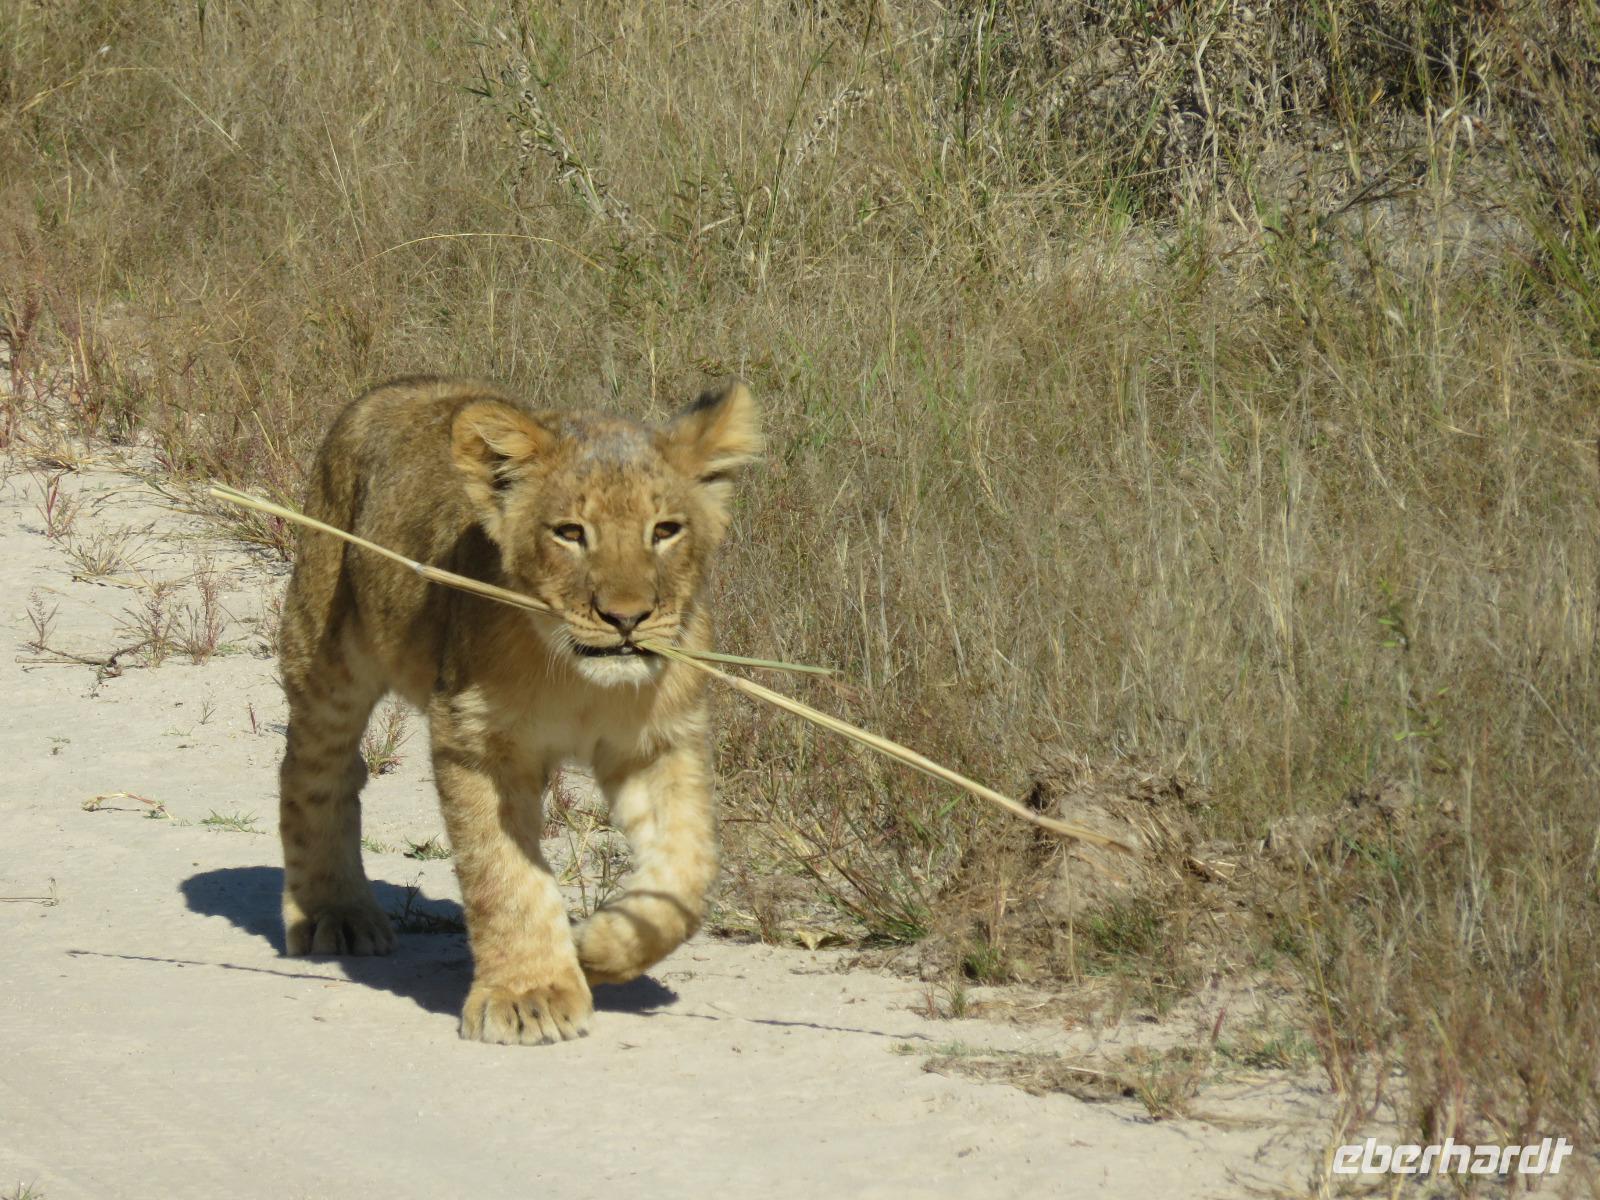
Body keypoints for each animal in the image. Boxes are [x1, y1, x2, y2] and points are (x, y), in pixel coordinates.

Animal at [275, 375, 760, 1045]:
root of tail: (392, 387)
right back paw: (335, 913)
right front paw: (530, 996)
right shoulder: (477, 740)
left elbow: (687, 873)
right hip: (328, 647)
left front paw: (596, 948)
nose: (627, 618)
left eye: (665, 530)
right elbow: (504, 876)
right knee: (314, 770)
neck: (580, 680)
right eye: (570, 533)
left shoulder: (659, 741)